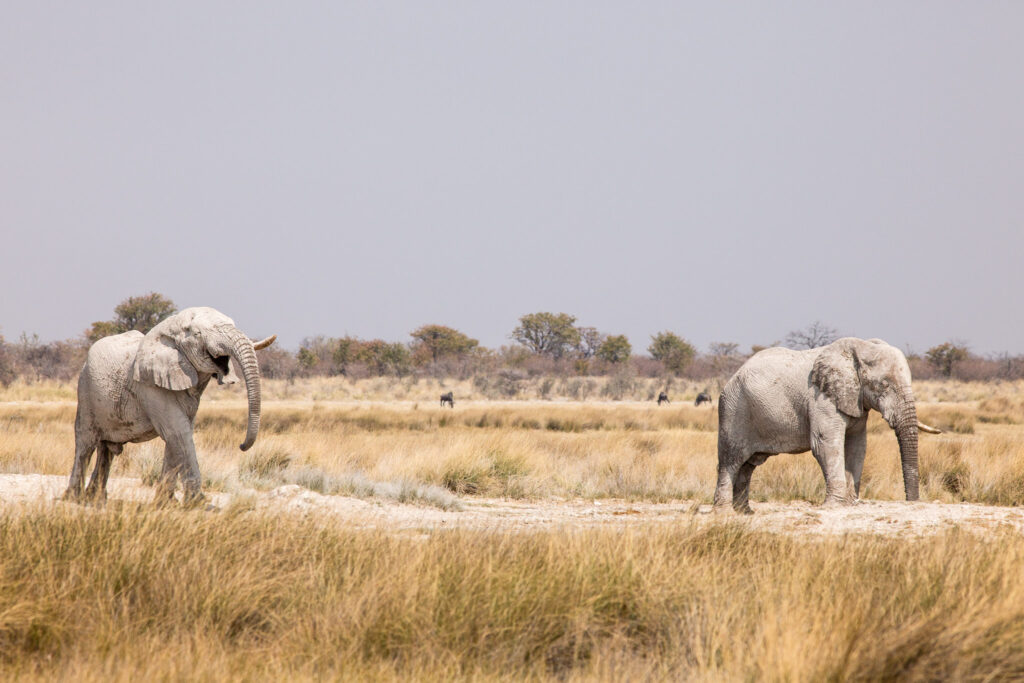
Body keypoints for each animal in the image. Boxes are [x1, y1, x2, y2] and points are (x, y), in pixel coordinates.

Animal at [66, 307, 278, 505]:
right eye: (198, 334)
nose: (241, 446)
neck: (171, 327)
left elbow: (177, 435)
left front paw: (166, 504)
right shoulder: (150, 386)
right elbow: (177, 432)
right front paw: (199, 503)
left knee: (106, 450)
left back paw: (96, 499)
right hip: (85, 391)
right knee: (85, 443)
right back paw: (74, 498)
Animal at [712, 335, 942, 511]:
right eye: (884, 385)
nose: (913, 502)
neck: (860, 348)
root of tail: (733, 377)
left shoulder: (856, 402)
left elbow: (857, 446)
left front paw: (850, 503)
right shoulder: (822, 398)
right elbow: (826, 444)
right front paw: (835, 506)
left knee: (748, 465)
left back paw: (744, 512)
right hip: (733, 410)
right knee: (731, 460)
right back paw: (724, 513)